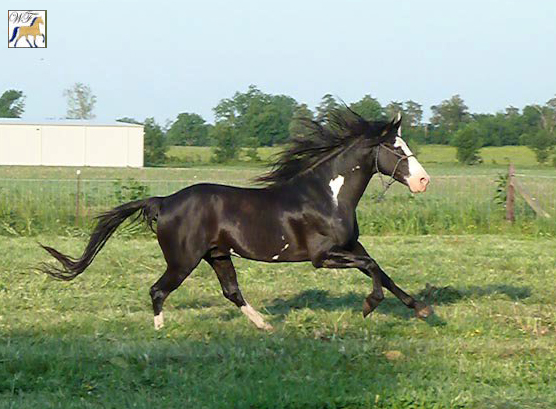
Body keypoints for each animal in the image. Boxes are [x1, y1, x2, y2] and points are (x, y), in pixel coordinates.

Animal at [41, 110, 432, 330]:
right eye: (395, 148)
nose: (423, 181)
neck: (327, 195)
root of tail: (163, 202)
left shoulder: (351, 245)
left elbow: (381, 269)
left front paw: (423, 309)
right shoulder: (322, 257)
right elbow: (372, 267)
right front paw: (369, 306)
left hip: (217, 255)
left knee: (231, 291)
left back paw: (265, 326)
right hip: (183, 260)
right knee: (158, 290)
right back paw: (160, 333)